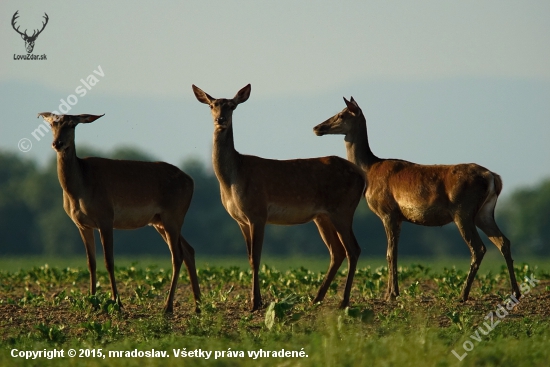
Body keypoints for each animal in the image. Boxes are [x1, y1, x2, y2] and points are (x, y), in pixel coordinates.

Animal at [38, 111, 203, 314]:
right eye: (52, 124)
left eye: (72, 124)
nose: (57, 143)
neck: (79, 188)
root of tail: (191, 181)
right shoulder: (82, 224)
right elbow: (91, 263)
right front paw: (92, 302)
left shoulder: (106, 217)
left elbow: (109, 261)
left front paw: (118, 303)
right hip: (160, 221)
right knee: (189, 250)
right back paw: (197, 306)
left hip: (173, 216)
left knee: (177, 255)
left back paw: (168, 307)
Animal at [192, 85, 368, 312]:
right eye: (212, 105)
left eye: (232, 106)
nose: (220, 119)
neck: (232, 178)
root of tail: (362, 176)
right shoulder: (240, 220)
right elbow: (249, 257)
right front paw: (255, 301)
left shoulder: (257, 212)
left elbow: (256, 258)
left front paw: (256, 302)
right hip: (322, 216)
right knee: (337, 251)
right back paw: (316, 299)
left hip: (343, 209)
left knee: (353, 249)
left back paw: (343, 301)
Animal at [314, 97, 520, 302]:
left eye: (342, 114)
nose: (317, 127)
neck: (369, 171)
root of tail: (493, 177)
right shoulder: (399, 217)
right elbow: (393, 252)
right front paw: (390, 293)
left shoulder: (388, 212)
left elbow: (390, 253)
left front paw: (391, 294)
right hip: (484, 212)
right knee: (504, 242)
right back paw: (515, 292)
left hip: (463, 211)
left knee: (478, 248)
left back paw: (462, 295)